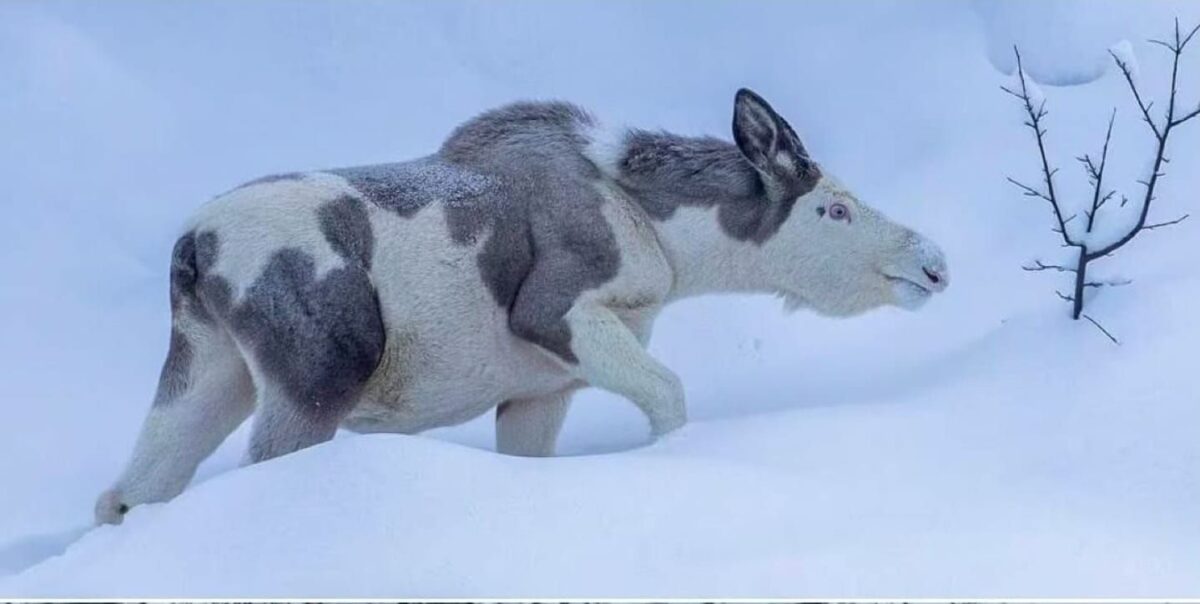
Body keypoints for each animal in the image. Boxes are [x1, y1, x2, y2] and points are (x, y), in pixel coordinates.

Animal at [96, 88, 945, 525]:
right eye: (834, 209)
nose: (932, 263)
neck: (676, 247)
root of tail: (193, 249)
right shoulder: (557, 315)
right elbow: (670, 399)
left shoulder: (538, 391)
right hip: (319, 377)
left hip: (207, 372)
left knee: (127, 494)